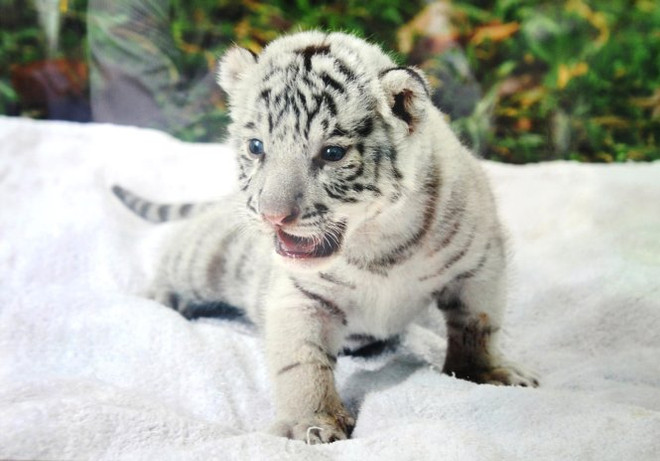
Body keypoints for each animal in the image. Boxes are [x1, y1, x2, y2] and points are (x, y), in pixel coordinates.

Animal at [112, 31, 538, 444]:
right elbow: (301, 363)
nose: (272, 216)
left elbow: (477, 328)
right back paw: (154, 299)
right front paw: (311, 423)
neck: (379, 244)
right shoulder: (300, 296)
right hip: (202, 257)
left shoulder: (481, 265)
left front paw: (489, 375)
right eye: (256, 147)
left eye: (332, 153)